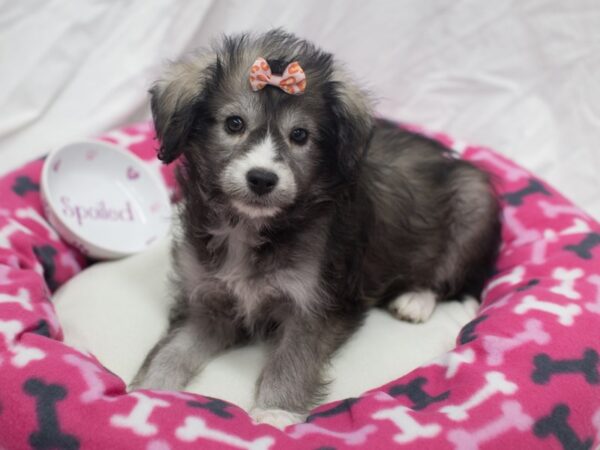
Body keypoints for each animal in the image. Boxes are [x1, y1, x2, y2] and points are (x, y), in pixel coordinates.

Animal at [132, 29, 502, 428]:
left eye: (299, 135)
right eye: (234, 124)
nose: (261, 179)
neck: (249, 227)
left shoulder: (314, 306)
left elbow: (292, 360)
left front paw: (275, 412)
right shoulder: (207, 302)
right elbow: (173, 350)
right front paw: (147, 390)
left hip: (474, 206)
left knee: (453, 280)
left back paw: (414, 300)